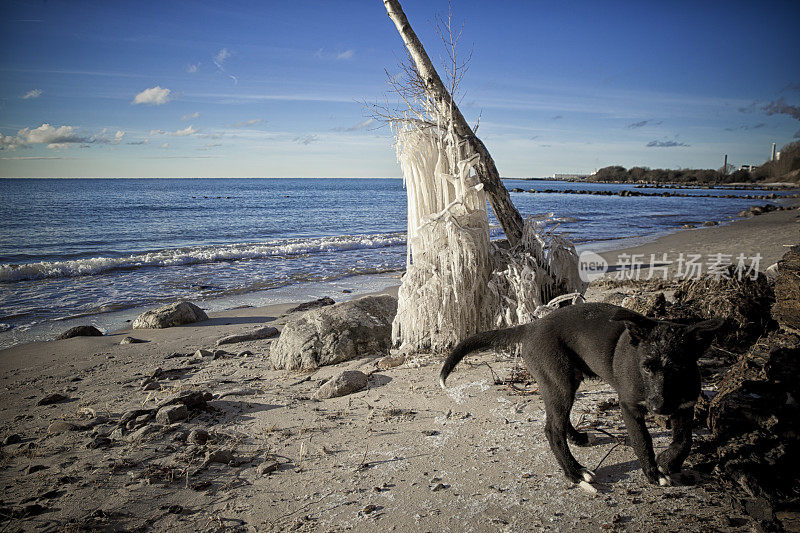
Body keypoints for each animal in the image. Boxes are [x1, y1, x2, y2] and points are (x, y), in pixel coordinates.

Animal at [440, 304, 720, 490]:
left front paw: (668, 463)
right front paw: (653, 472)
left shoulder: (685, 405)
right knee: (552, 430)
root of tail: (531, 327)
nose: (658, 407)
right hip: (559, 383)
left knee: (559, 420)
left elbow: (685, 441)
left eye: (679, 368)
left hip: (564, 383)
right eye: (646, 367)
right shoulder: (629, 406)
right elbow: (643, 440)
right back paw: (575, 472)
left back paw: (576, 438)